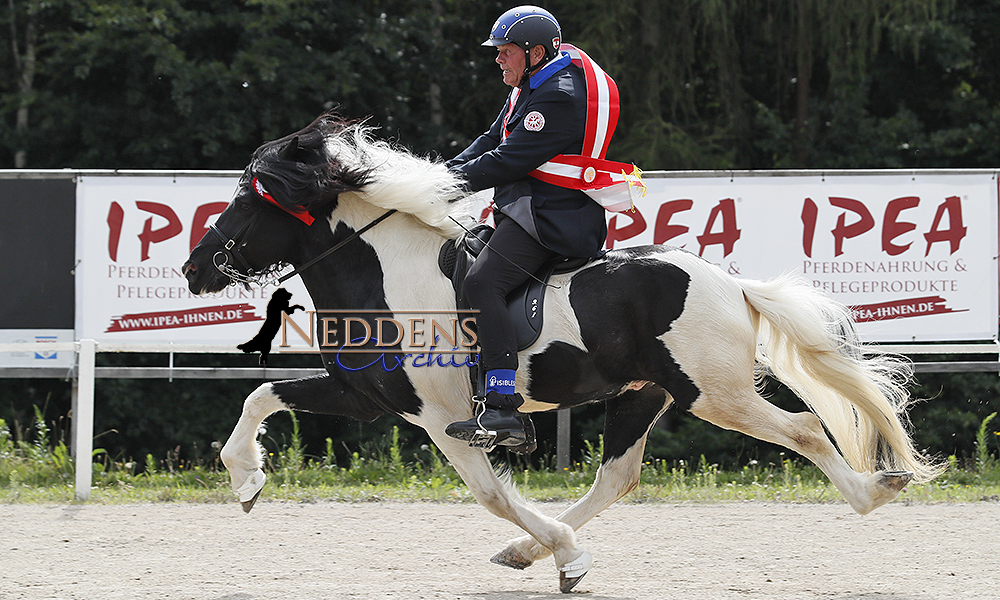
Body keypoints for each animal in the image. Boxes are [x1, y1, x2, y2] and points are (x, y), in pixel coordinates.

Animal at [182, 111, 944, 592]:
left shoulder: (444, 421)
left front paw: (571, 560)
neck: (385, 273)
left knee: (805, 427)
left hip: (713, 390)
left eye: (250, 201)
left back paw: (874, 491)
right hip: (642, 394)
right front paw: (246, 481)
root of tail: (729, 282)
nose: (193, 269)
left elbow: (492, 494)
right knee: (619, 476)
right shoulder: (367, 396)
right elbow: (262, 394)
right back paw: (527, 553)